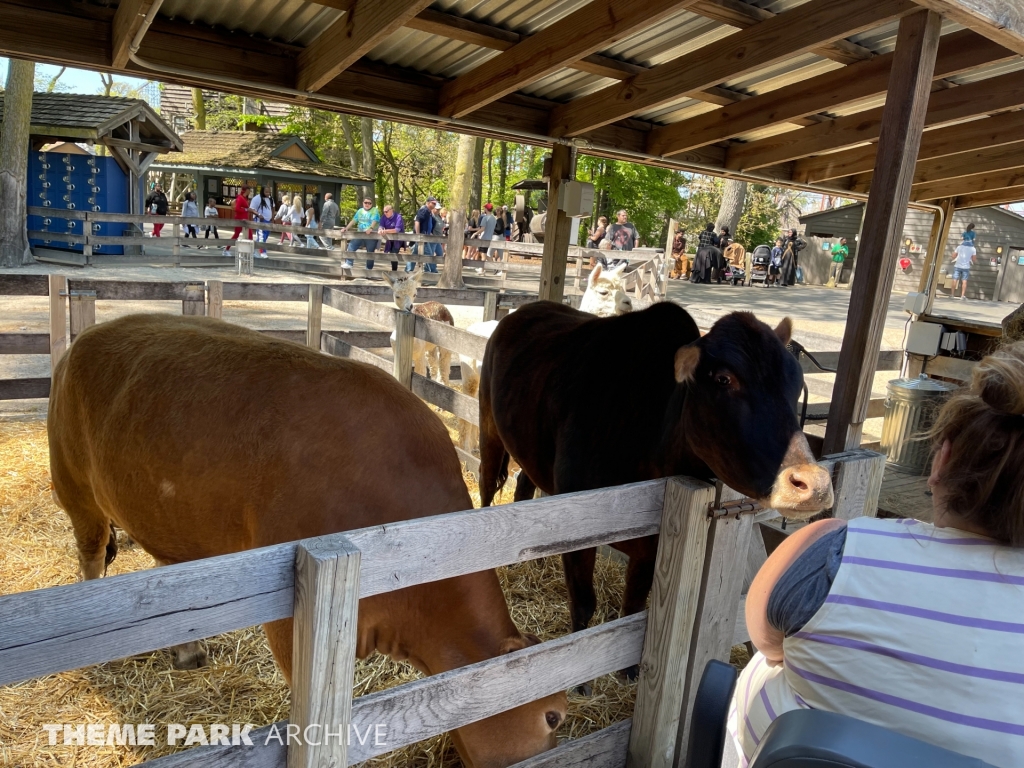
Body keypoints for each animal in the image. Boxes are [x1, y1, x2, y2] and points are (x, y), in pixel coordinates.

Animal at [48, 313, 569, 768]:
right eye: (554, 716)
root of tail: (83, 339)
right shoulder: (291, 625)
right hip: (75, 487)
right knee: (91, 555)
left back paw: (188, 650)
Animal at [479, 301, 831, 671]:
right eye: (723, 379)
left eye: (796, 382)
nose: (814, 482)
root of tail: (527, 309)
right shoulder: (576, 525)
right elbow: (584, 605)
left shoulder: (652, 543)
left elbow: (634, 604)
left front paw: (630, 670)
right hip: (489, 425)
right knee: (487, 487)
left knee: (523, 483)